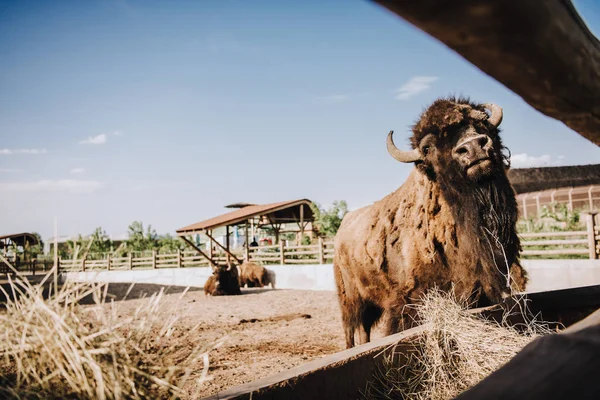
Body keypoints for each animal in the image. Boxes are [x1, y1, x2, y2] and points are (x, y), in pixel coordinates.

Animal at [336, 96, 528, 346]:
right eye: (428, 147)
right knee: (351, 328)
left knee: (363, 328)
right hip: (350, 298)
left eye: (483, 122)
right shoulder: (410, 300)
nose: (474, 146)